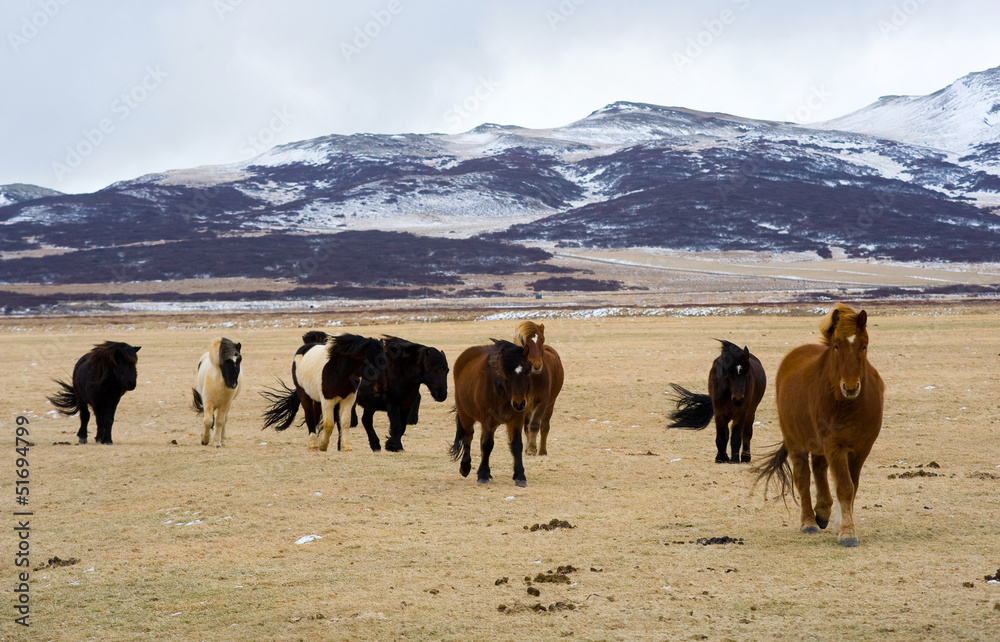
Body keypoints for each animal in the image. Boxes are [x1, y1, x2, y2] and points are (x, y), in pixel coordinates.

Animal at [450, 339, 534, 487]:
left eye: (528, 371)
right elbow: (487, 444)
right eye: (507, 373)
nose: (519, 403)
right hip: (466, 416)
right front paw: (483, 474)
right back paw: (465, 467)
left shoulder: (517, 419)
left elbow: (517, 445)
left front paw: (520, 476)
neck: (503, 393)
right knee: (468, 437)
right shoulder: (488, 420)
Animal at [512, 322, 564, 456]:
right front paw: (527, 449)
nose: (536, 365)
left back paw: (542, 451)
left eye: (542, 339)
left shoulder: (542, 402)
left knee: (544, 426)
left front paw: (532, 449)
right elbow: (526, 427)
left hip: (550, 404)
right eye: (524, 342)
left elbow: (535, 425)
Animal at [754, 303, 885, 547]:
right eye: (836, 346)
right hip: (796, 443)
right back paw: (809, 522)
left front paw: (841, 524)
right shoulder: (835, 446)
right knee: (803, 478)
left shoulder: (861, 450)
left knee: (819, 469)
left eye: (864, 346)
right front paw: (848, 533)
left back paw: (823, 512)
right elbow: (844, 487)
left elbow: (852, 487)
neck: (848, 406)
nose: (850, 387)